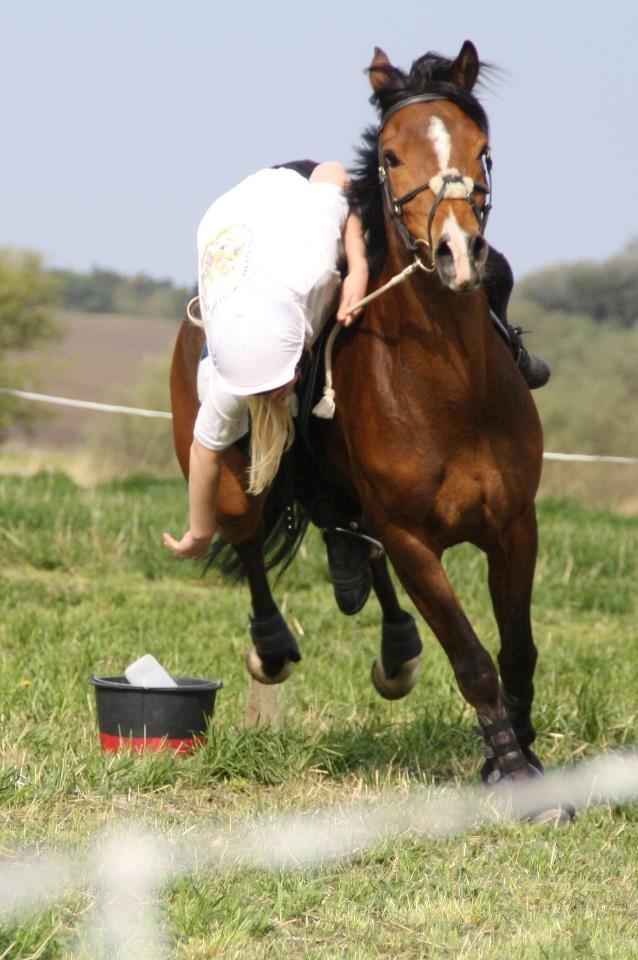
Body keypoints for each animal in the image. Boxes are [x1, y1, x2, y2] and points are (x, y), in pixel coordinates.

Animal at [171, 41, 568, 812]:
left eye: (482, 149)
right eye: (390, 155)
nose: (457, 251)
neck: (451, 390)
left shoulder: (514, 524)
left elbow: (517, 649)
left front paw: (522, 751)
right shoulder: (416, 540)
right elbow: (472, 658)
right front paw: (512, 768)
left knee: (352, 541)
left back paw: (393, 648)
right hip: (233, 466)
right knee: (248, 537)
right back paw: (273, 646)